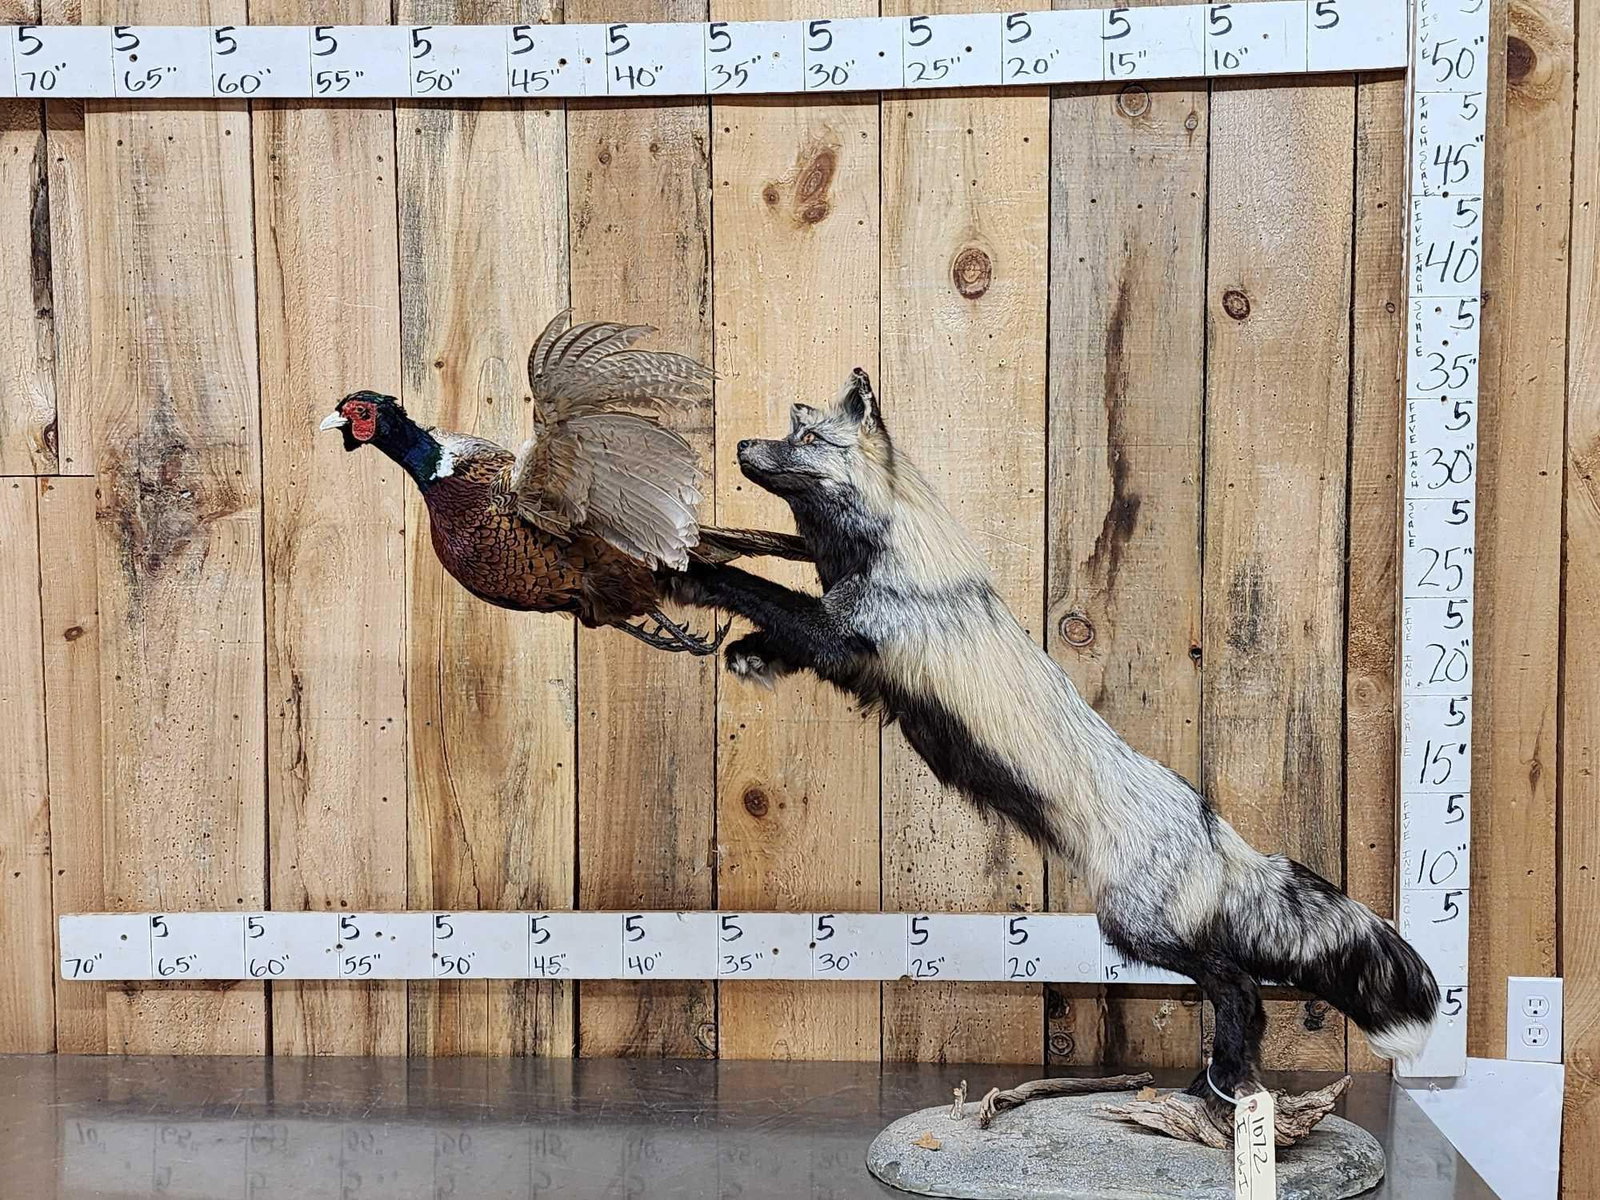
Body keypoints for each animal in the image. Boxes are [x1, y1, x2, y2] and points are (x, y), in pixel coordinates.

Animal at [666, 366, 1439, 1102]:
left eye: (806, 439)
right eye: (787, 430)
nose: (740, 446)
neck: (883, 557)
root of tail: (1212, 825)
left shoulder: (850, 632)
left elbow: (757, 588)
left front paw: (690, 572)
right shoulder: (854, 658)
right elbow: (779, 624)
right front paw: (747, 651)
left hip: (1135, 929)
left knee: (1243, 989)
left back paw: (1221, 1087)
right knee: (1241, 992)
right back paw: (1215, 1086)